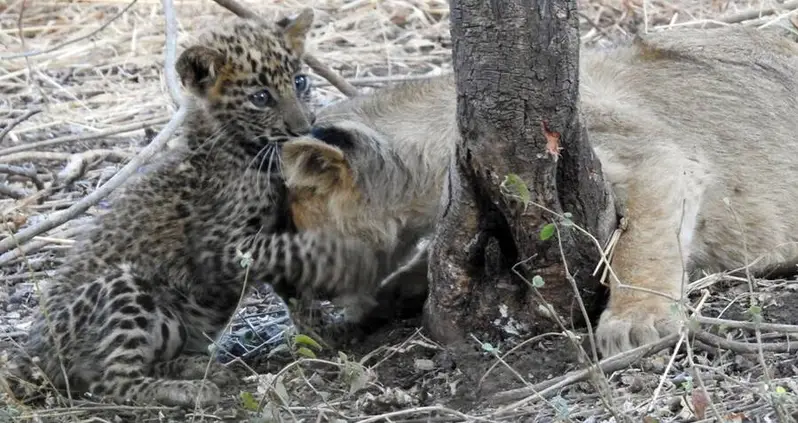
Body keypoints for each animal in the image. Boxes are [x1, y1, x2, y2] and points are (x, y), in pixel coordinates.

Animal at [0, 9, 387, 408]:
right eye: (261, 98)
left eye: (300, 81)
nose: (304, 128)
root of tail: (31, 354)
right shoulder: (223, 245)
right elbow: (292, 250)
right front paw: (348, 254)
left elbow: (295, 279)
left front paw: (322, 333)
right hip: (121, 286)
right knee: (114, 381)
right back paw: (188, 389)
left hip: (170, 326)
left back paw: (198, 367)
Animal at [278, 25, 798, 358]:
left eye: (282, 230)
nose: (287, 290)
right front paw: (392, 292)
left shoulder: (651, 156)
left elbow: (641, 243)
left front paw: (637, 323)